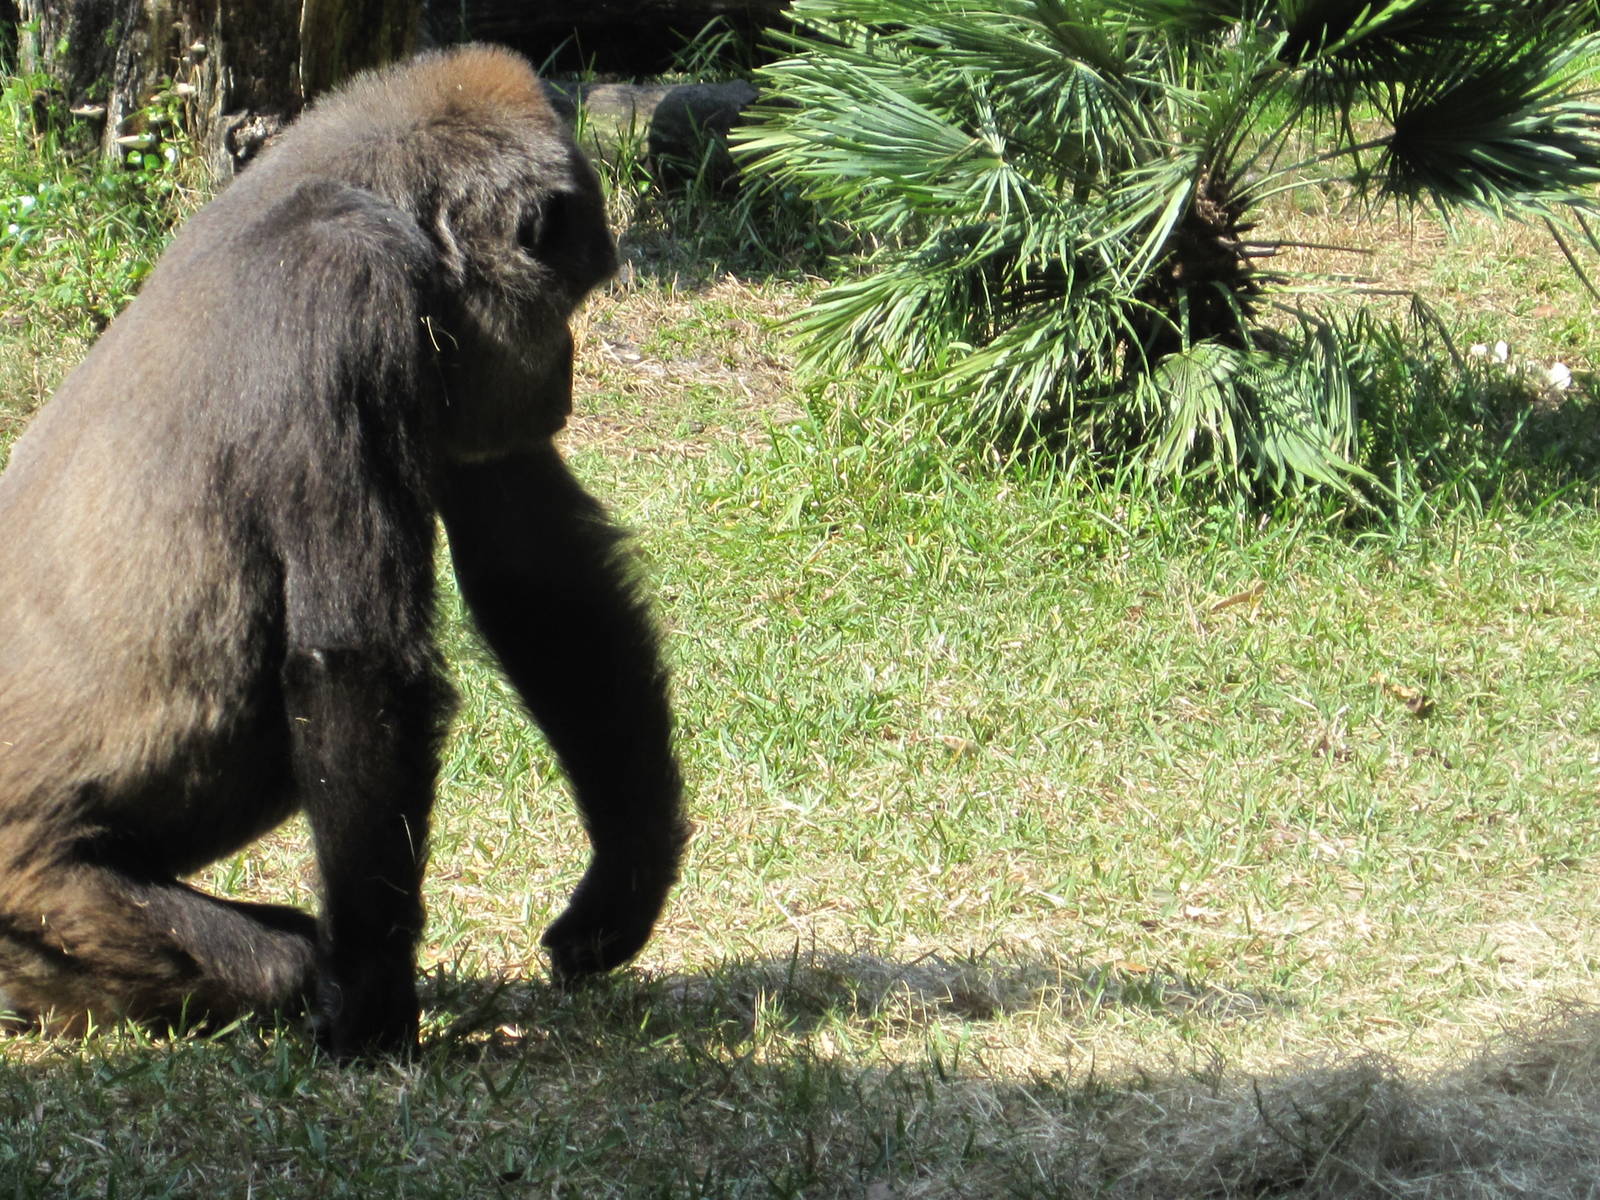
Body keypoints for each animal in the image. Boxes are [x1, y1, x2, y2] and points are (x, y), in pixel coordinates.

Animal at [0, 45, 688, 1058]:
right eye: (570, 295)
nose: (563, 373)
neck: (357, 188)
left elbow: (539, 577)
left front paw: (624, 879)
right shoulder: (349, 291)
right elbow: (357, 666)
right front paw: (370, 1004)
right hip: (39, 885)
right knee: (263, 958)